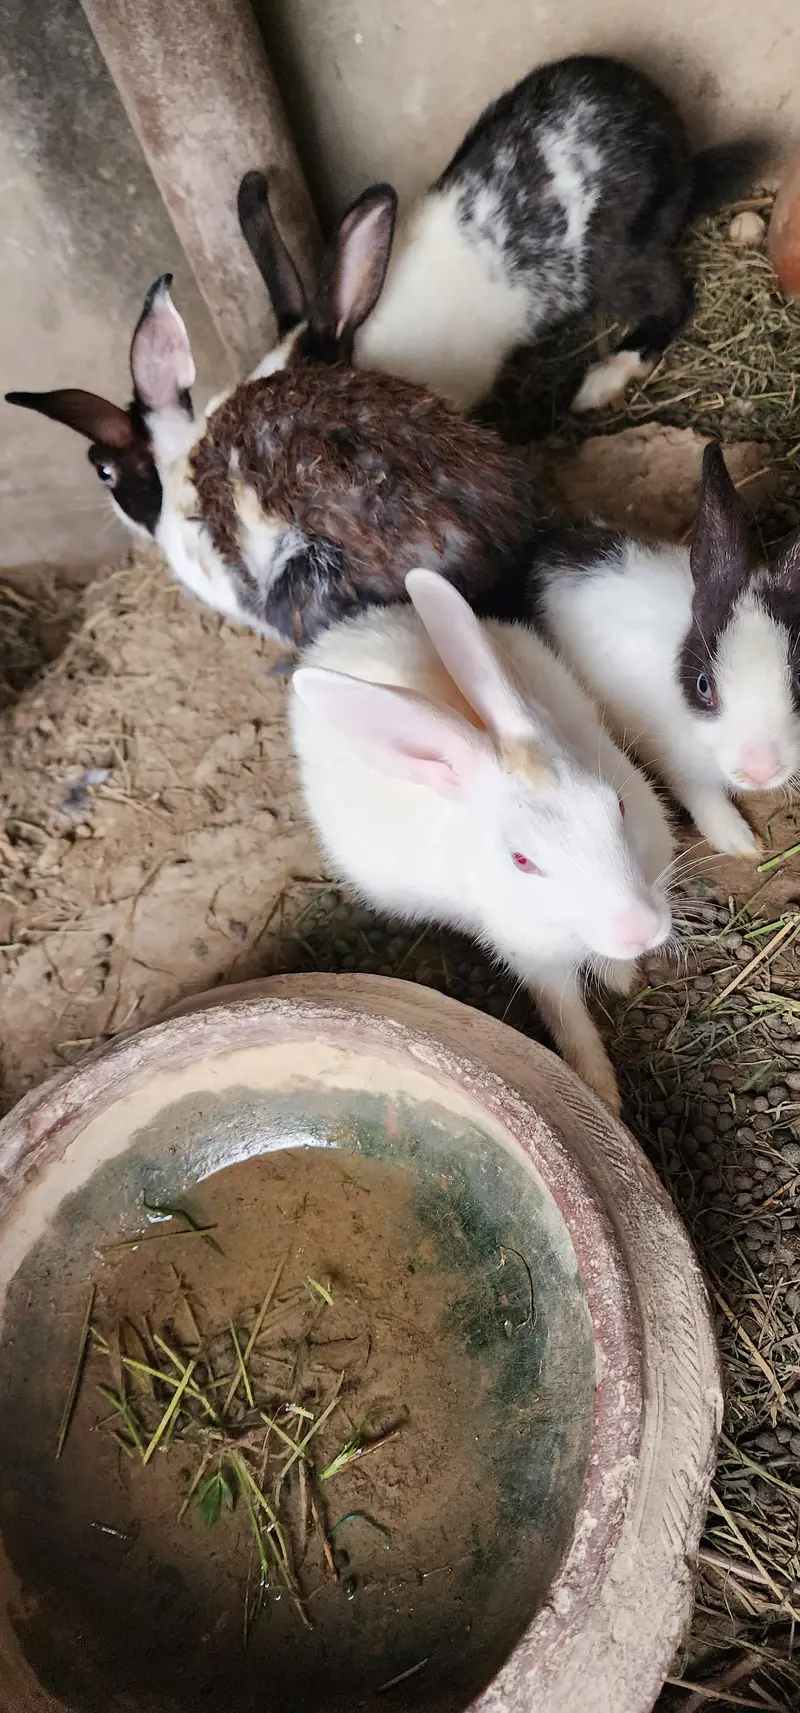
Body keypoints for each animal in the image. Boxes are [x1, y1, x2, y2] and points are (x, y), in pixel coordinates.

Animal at [290, 567, 675, 1114]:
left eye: (616, 806)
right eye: (521, 861)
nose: (640, 930)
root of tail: (339, 635)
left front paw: (621, 978)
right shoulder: (533, 958)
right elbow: (567, 1018)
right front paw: (601, 1093)